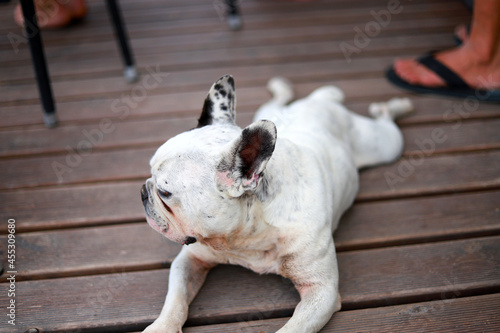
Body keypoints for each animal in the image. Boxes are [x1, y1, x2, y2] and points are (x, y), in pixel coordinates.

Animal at [142, 76, 414, 332]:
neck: (243, 237)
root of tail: (320, 101)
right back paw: (281, 87)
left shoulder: (320, 290)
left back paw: (396, 105)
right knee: (277, 101)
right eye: (150, 172)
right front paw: (161, 327)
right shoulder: (191, 260)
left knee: (387, 121)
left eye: (164, 192)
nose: (144, 191)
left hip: (386, 145)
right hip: (268, 112)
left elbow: (292, 329)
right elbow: (175, 300)